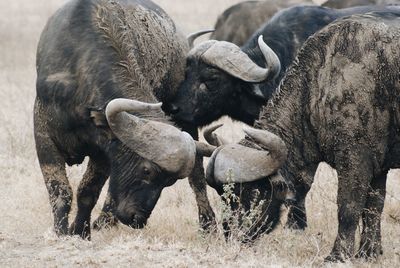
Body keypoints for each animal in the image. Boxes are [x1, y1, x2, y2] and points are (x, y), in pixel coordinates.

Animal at [34, 0, 216, 239]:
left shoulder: (102, 149)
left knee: (197, 176)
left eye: (168, 182)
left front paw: (81, 232)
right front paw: (61, 232)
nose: (136, 219)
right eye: (147, 170)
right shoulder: (44, 135)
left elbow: (87, 192)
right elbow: (60, 191)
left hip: (187, 122)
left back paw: (208, 224)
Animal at [206, 11, 400, 260]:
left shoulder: (356, 160)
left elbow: (348, 207)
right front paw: (369, 252)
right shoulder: (378, 165)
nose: (233, 234)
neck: (322, 81)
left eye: (251, 192)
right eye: (222, 194)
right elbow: (374, 207)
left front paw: (338, 254)